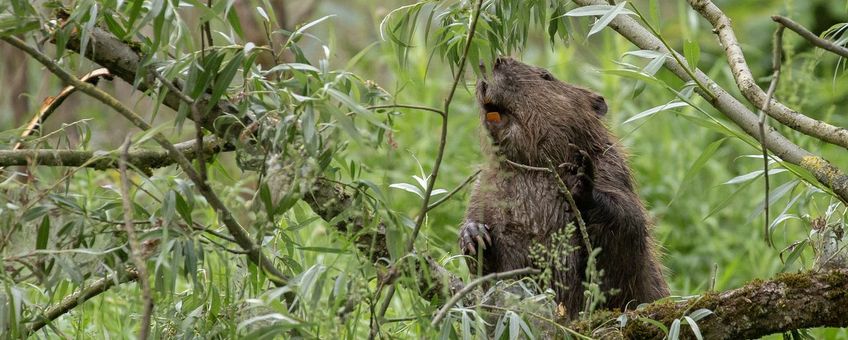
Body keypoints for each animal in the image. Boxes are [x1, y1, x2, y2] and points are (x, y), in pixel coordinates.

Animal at [458, 56, 668, 318]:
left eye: (546, 75)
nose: (495, 60)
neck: (532, 169)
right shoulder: (483, 189)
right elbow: (488, 275)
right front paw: (473, 234)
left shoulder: (612, 170)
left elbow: (628, 229)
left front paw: (579, 182)